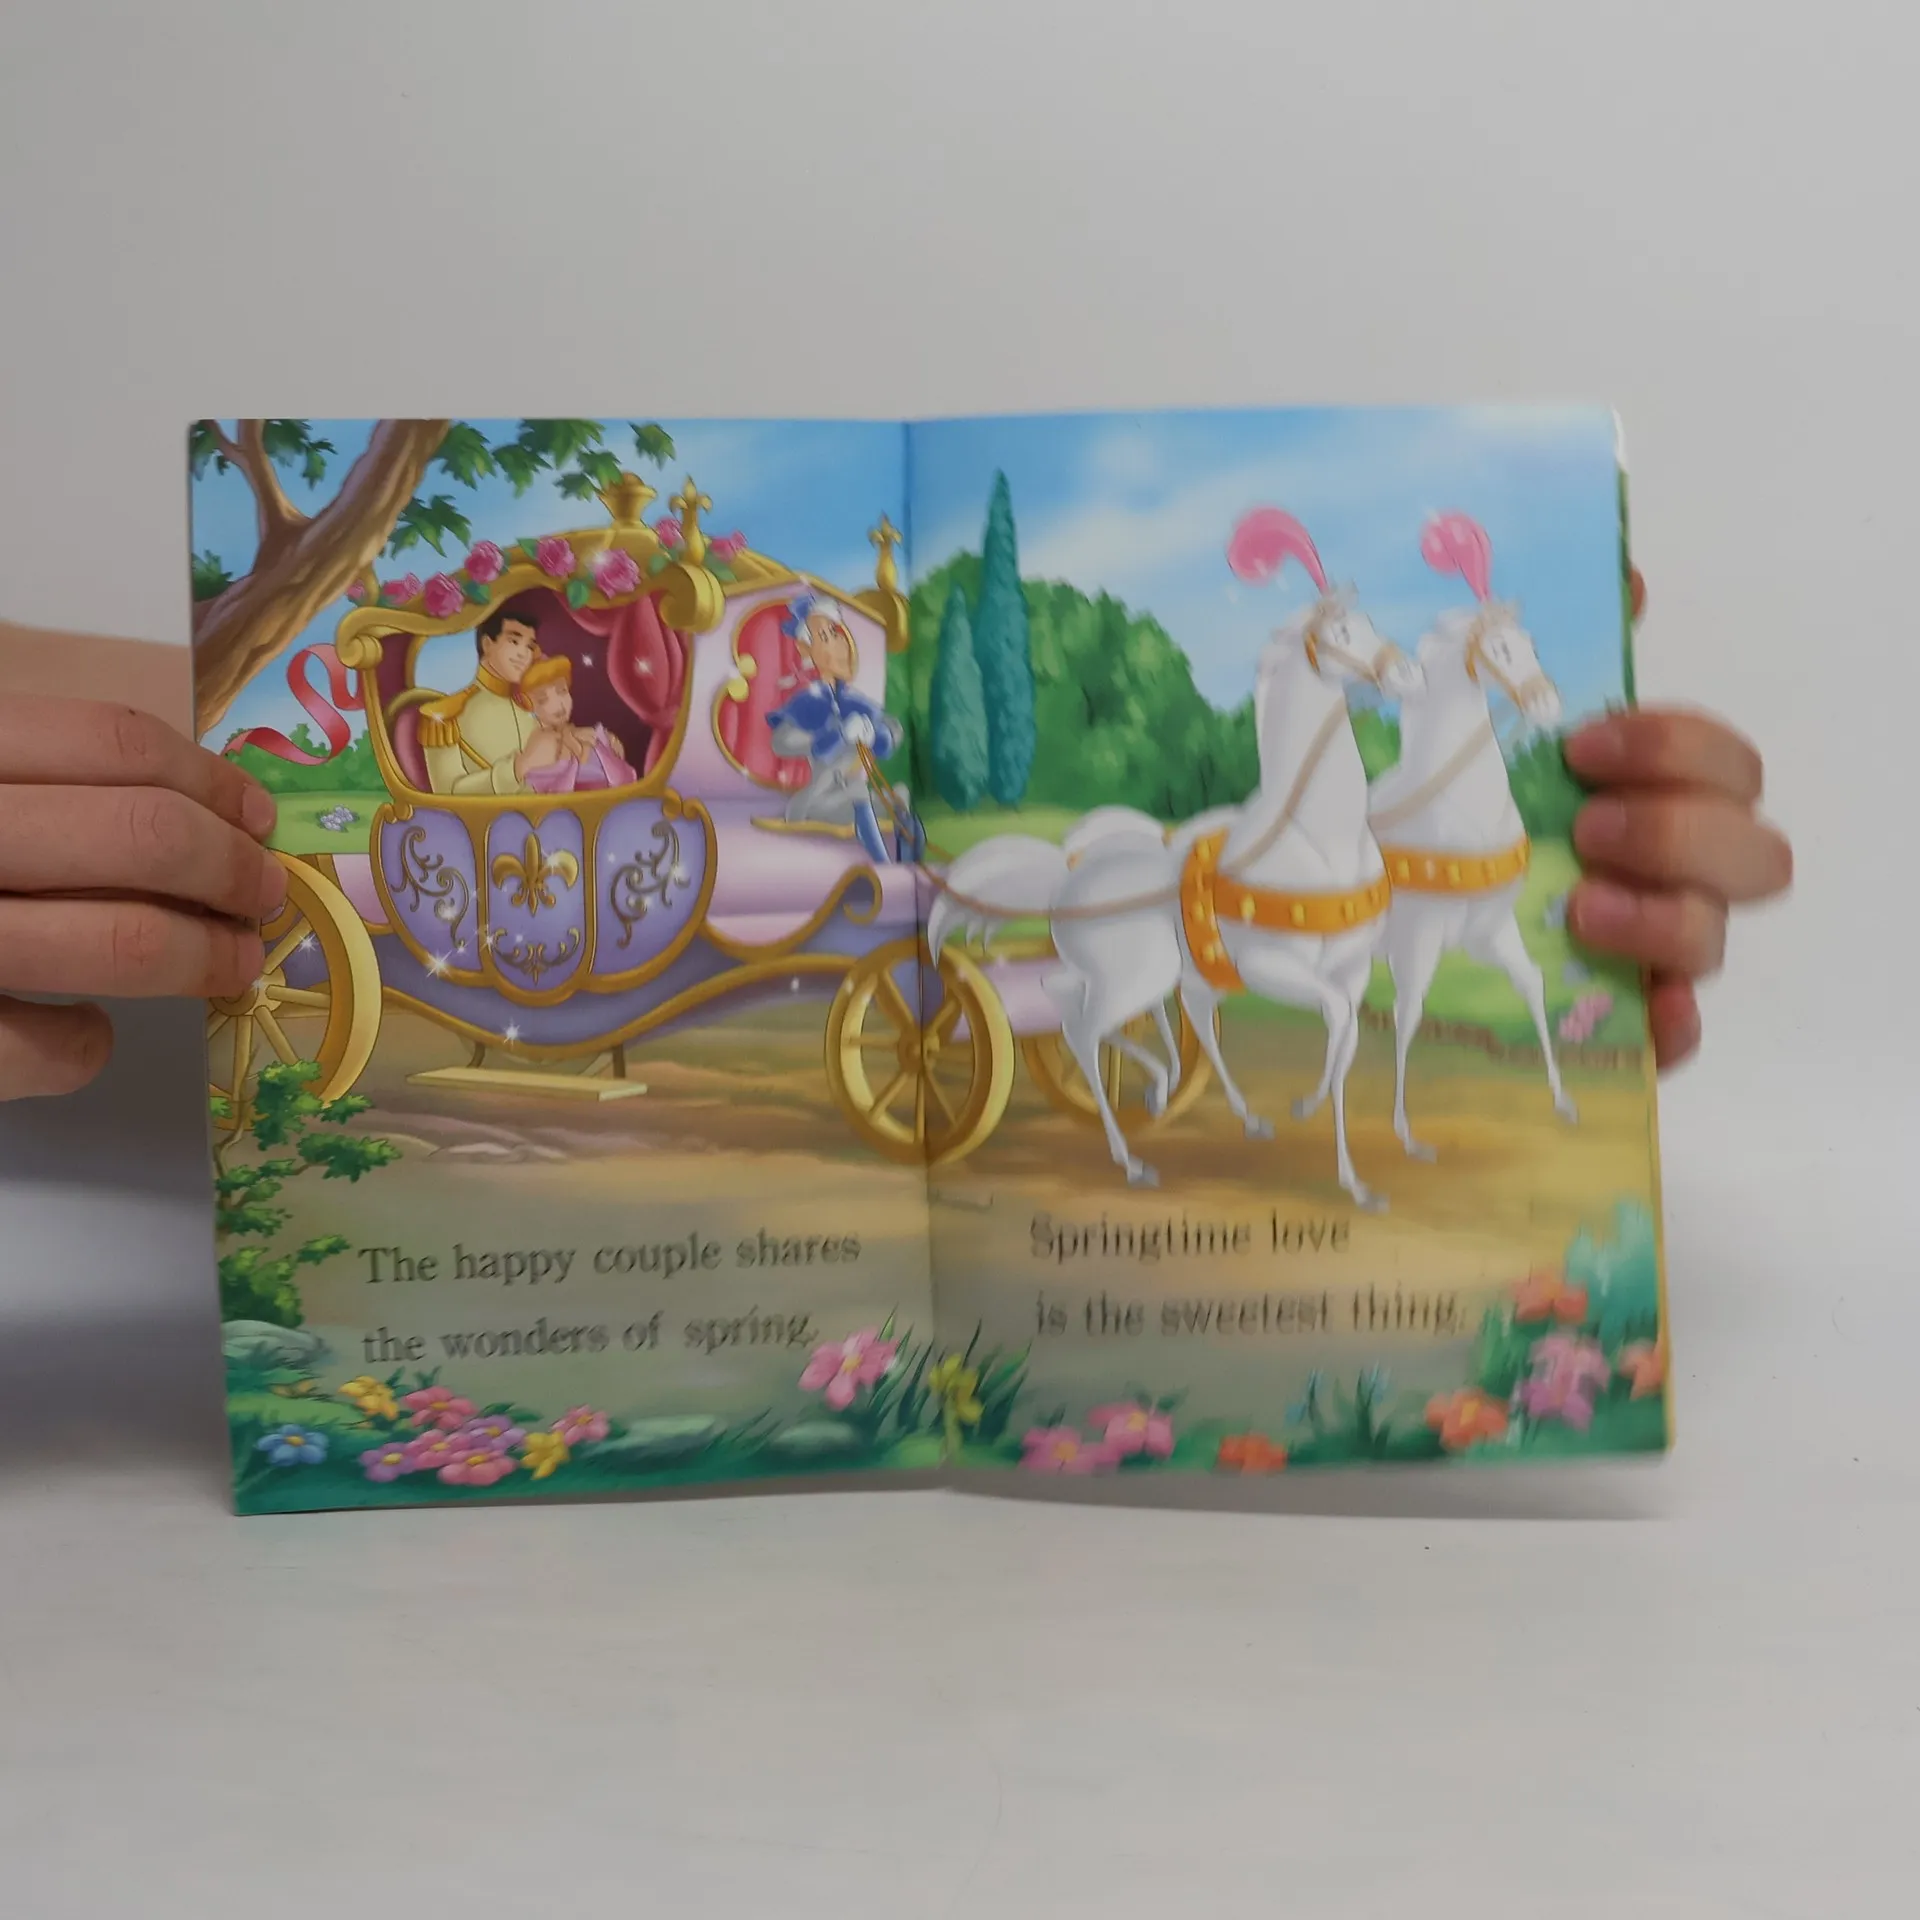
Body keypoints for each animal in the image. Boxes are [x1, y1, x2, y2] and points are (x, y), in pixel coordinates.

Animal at [928, 590, 1425, 1211]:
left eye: (1369, 622)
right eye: (1341, 632)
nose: (1407, 672)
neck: (1315, 842)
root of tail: (1066, 880)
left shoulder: (1350, 972)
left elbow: (1346, 1039)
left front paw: (1346, 1169)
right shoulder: (1269, 967)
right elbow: (1336, 1023)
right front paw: (1328, 1143)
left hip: (1163, 975)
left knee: (1109, 1009)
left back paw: (1194, 1102)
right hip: (1141, 975)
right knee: (1082, 1029)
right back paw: (1132, 1159)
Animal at [1366, 598, 1572, 1161]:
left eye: (1531, 644)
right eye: (1499, 649)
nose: (1546, 704)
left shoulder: (1491, 929)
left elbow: (1531, 984)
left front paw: (1562, 1099)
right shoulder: (1418, 936)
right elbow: (1408, 1014)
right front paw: (1406, 1133)